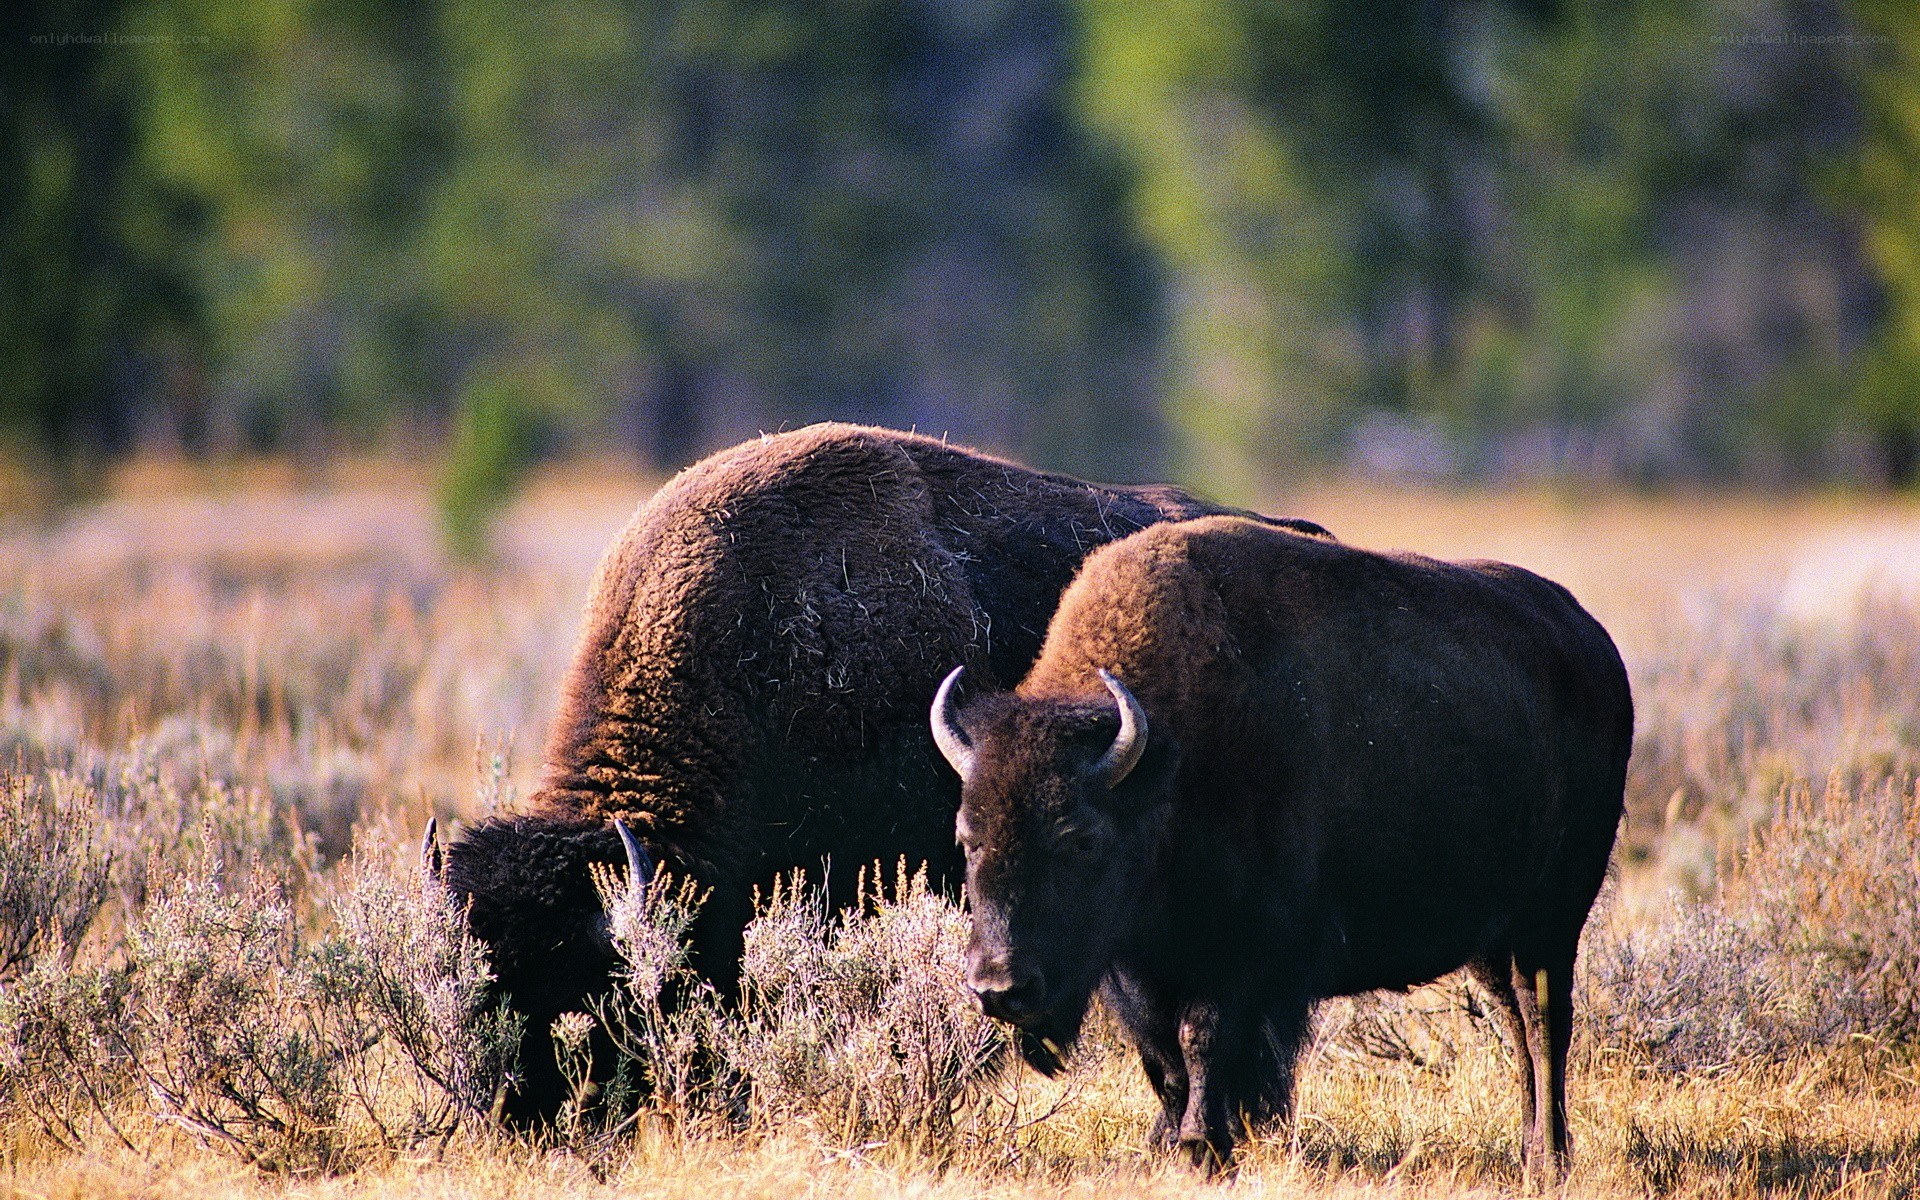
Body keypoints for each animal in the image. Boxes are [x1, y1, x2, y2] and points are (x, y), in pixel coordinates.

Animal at [930, 514, 1632, 1178]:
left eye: (1078, 838)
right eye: (968, 836)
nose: (1000, 988)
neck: (1163, 765)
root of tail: (1595, 645)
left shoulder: (1242, 954)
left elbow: (1203, 1041)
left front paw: (1201, 1146)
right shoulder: (1140, 970)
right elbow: (1164, 1059)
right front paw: (1172, 1144)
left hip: (1553, 917)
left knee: (1544, 1026)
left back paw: (1549, 1158)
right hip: (1493, 937)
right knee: (1516, 1023)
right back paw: (1529, 1150)